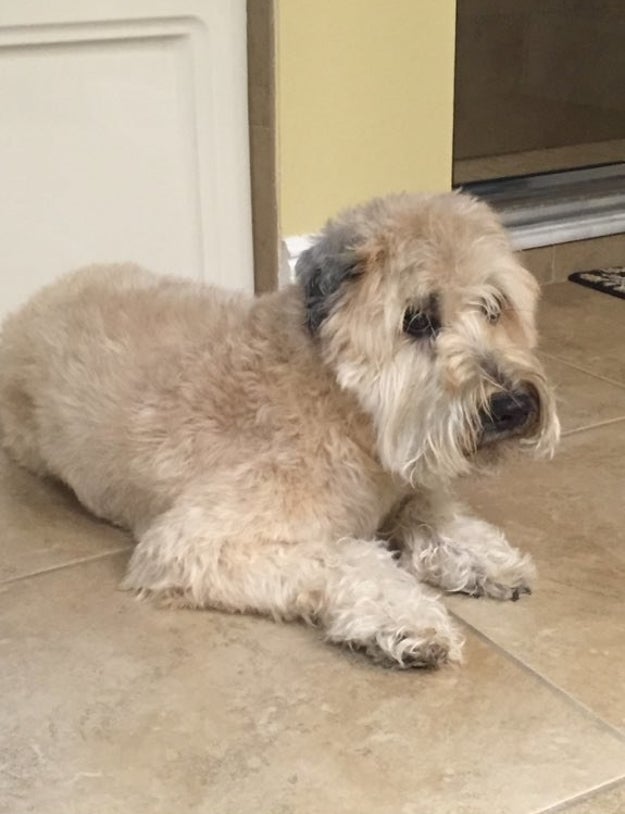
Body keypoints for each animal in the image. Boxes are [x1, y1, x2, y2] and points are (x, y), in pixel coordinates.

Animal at [0, 193, 556, 668]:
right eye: (418, 319)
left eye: (494, 306)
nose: (511, 405)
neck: (340, 405)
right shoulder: (193, 543)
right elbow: (348, 556)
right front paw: (406, 619)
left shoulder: (405, 489)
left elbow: (433, 514)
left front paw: (486, 559)